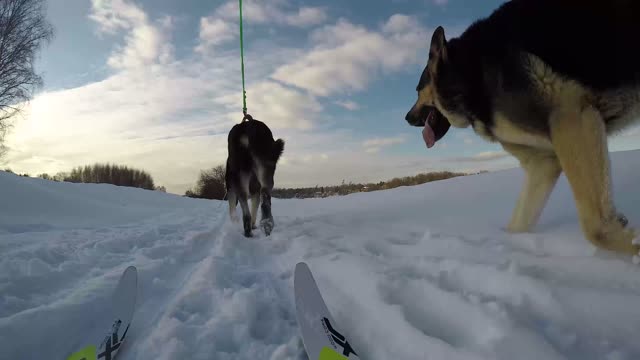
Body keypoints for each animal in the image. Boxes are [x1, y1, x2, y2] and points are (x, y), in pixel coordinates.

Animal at [404, 0, 640, 258]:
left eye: (417, 90)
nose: (406, 118)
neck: (468, 74)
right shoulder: (544, 161)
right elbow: (518, 222)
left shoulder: (572, 119)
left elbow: (596, 227)